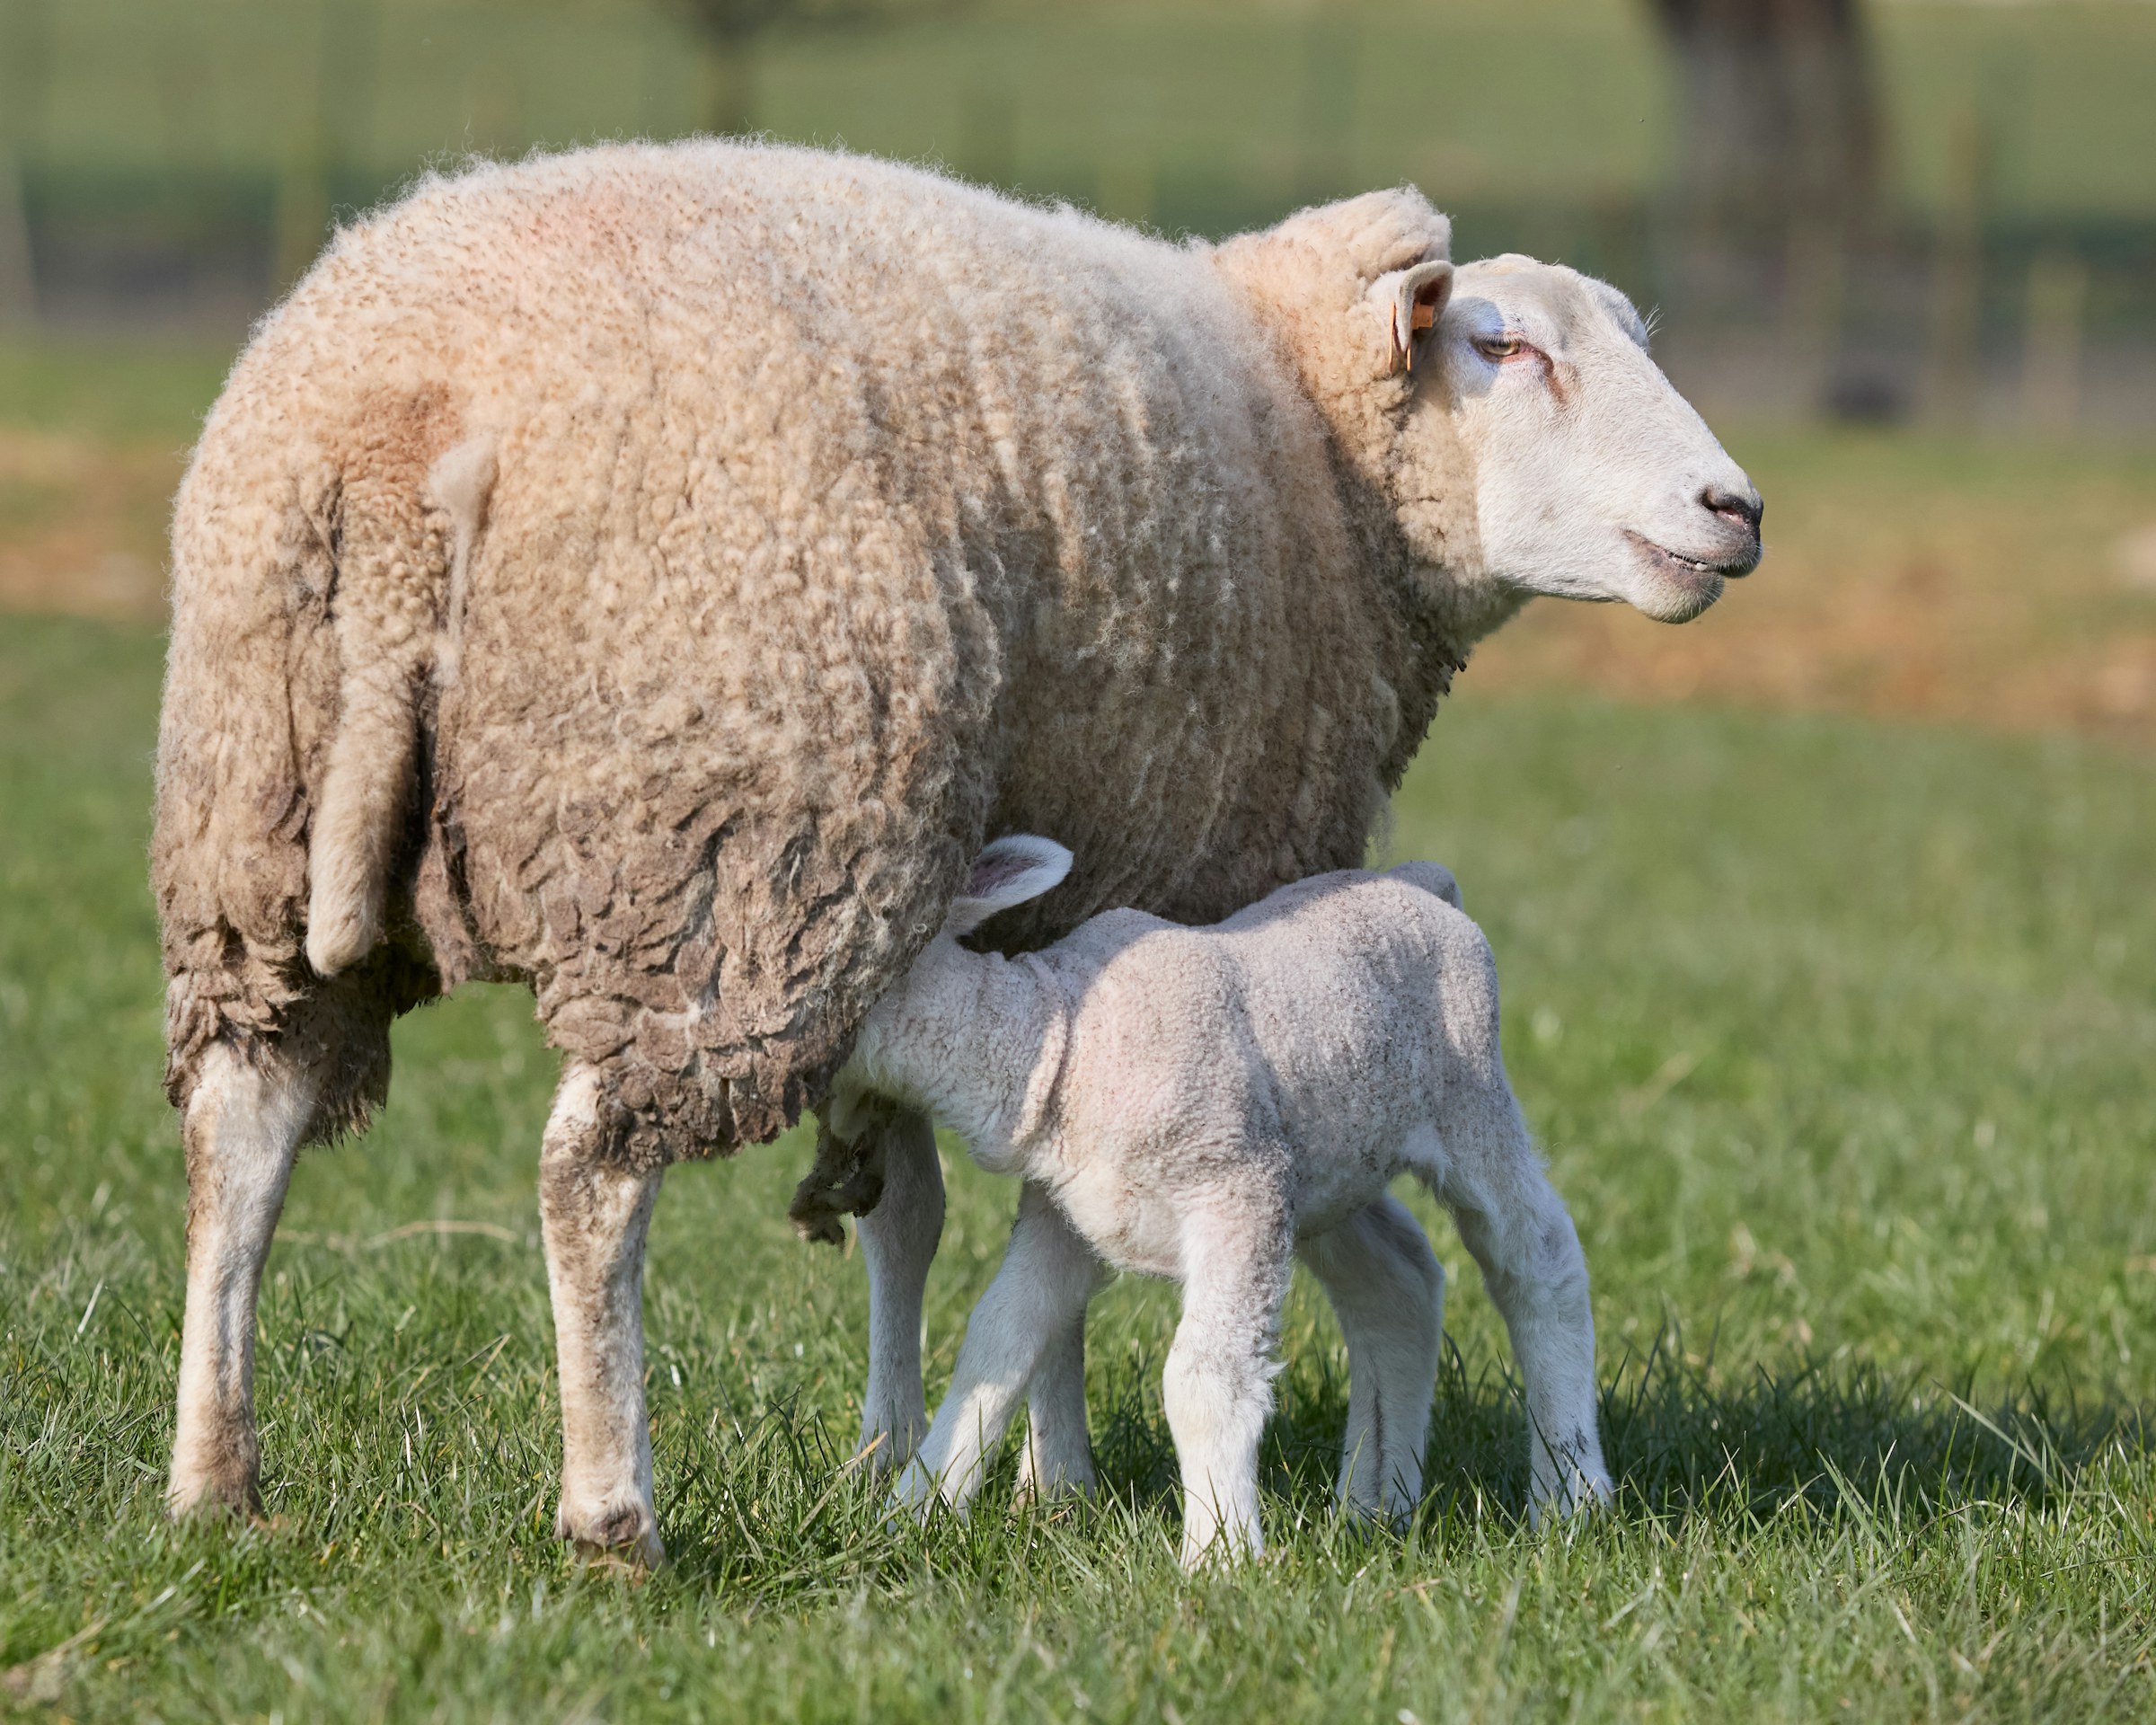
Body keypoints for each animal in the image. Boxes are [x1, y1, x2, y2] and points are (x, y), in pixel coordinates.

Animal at [827, 835, 1610, 1566]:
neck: (1061, 1043)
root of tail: (1423, 882)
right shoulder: (1065, 1217)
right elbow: (997, 1342)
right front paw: (910, 1514)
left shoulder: (1240, 1190)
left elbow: (1203, 1378)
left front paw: (1219, 1555)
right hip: (1332, 1165)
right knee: (1397, 1285)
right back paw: (1374, 1506)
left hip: (1469, 1097)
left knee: (1540, 1263)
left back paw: (1571, 1498)